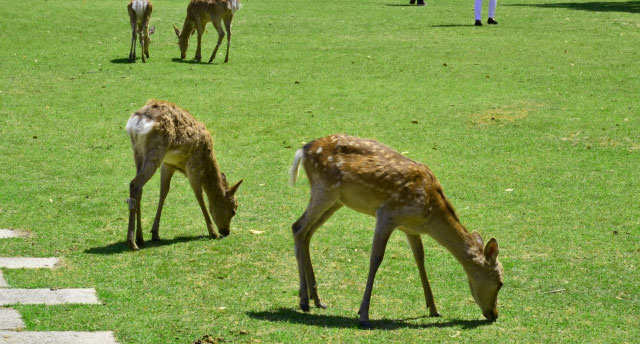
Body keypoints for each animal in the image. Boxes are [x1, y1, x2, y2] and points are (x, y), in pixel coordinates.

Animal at [125, 99, 242, 250]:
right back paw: (132, 242)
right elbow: (199, 195)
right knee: (135, 184)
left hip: (138, 152)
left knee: (140, 188)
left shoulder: (168, 164)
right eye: (234, 210)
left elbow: (163, 193)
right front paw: (212, 232)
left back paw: (140, 238)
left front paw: (155, 233)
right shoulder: (193, 163)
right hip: (156, 151)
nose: (226, 231)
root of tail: (137, 121)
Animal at [290, 134, 504, 328]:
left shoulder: (410, 228)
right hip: (324, 190)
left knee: (307, 233)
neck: (429, 212)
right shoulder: (386, 214)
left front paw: (434, 309)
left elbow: (420, 259)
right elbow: (376, 259)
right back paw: (304, 301)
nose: (494, 314)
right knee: (298, 228)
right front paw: (363, 315)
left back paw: (316, 299)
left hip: (337, 200)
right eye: (501, 282)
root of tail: (303, 150)